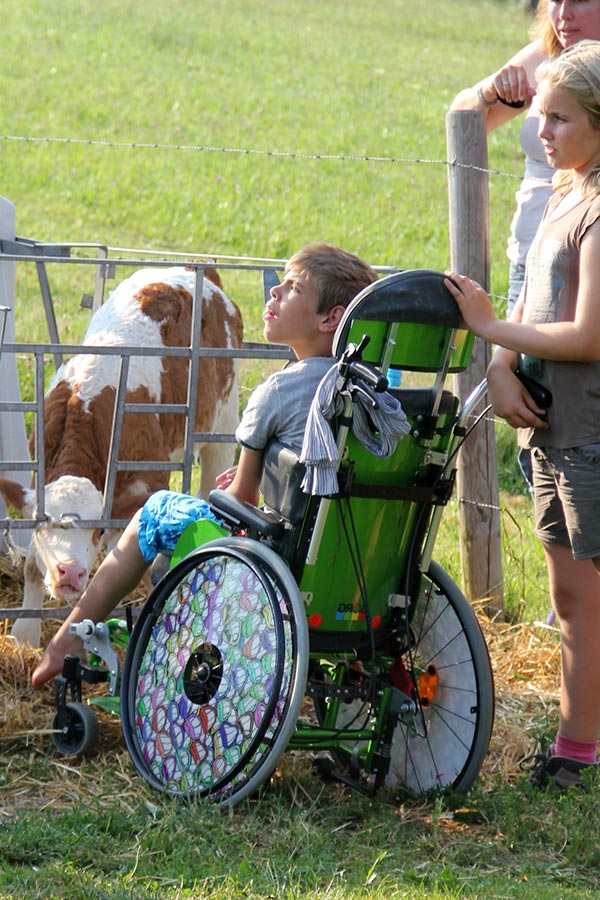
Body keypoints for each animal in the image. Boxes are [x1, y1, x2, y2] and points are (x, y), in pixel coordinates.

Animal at [1, 268, 244, 648]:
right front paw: (25, 633)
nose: (70, 572)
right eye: (42, 524)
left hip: (222, 423)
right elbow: (30, 567)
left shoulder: (144, 482)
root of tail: (192, 270)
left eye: (98, 529)